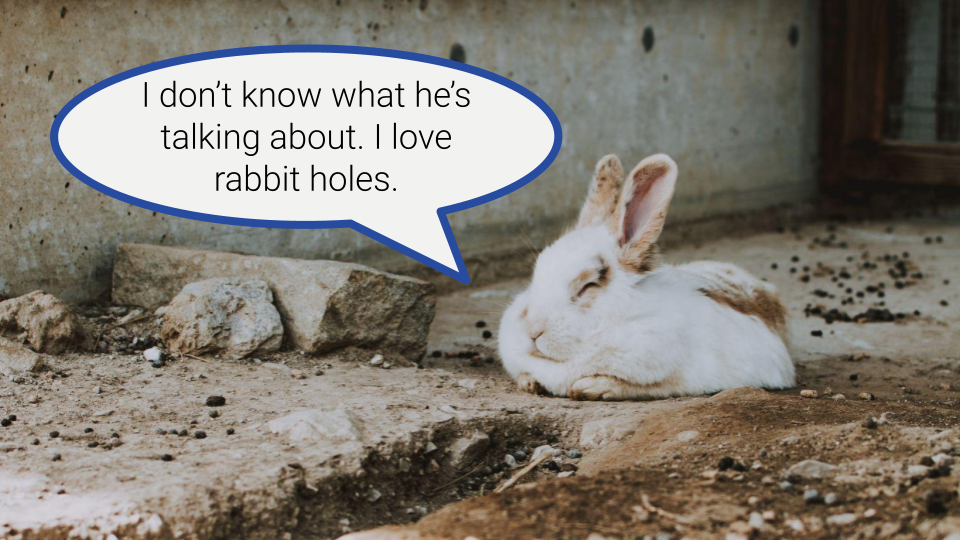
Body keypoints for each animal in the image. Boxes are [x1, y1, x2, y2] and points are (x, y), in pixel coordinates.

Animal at [498, 154, 792, 398]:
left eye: (588, 286)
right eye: (537, 273)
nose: (532, 331)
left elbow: (644, 385)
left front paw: (591, 387)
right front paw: (529, 382)